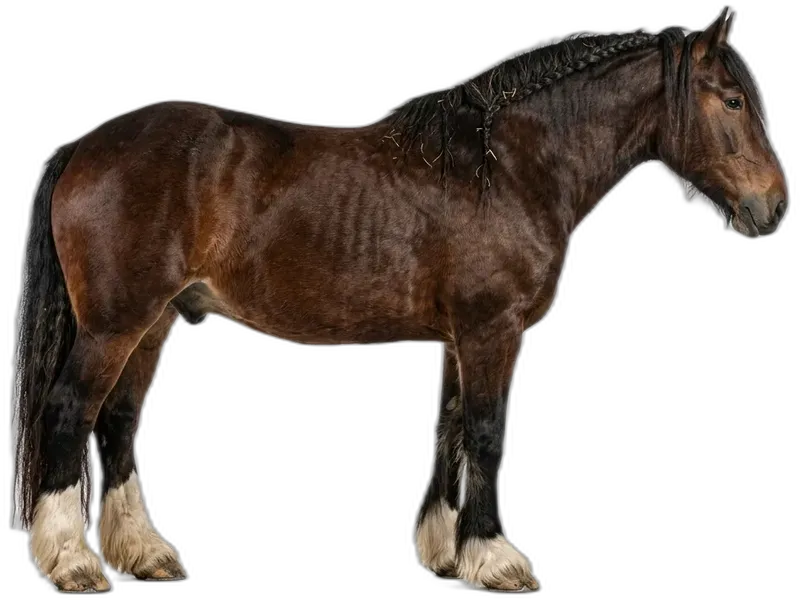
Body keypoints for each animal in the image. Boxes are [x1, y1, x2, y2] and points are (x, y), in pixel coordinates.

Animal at [10, 5, 789, 594]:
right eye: (732, 100)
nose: (774, 207)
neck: (508, 166)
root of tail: (84, 146)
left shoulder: (459, 337)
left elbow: (449, 428)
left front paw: (446, 550)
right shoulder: (493, 331)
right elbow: (487, 432)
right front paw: (495, 559)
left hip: (155, 323)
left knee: (117, 421)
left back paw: (142, 553)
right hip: (115, 324)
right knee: (71, 412)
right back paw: (73, 562)